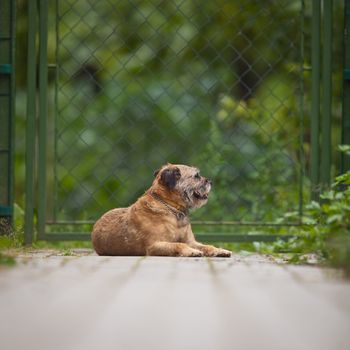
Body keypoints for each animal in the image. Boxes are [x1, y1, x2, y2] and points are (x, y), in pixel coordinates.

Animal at [91, 164, 231, 258]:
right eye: (196, 176)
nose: (210, 182)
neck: (172, 209)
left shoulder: (191, 241)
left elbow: (206, 245)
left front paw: (219, 250)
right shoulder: (154, 245)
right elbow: (178, 245)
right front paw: (191, 251)